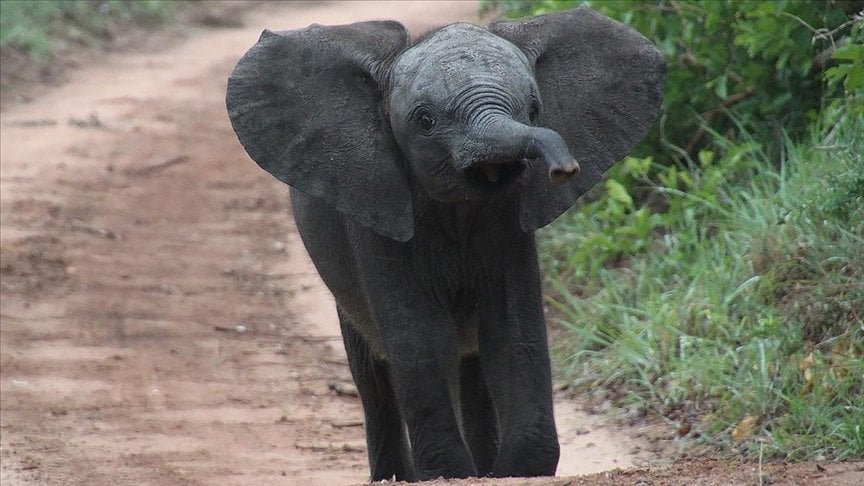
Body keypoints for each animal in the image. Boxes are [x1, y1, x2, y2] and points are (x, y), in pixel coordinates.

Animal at [226, 4, 664, 482]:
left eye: (534, 108)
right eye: (425, 121)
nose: (563, 168)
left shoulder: (508, 222)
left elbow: (509, 330)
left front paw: (520, 467)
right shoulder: (376, 210)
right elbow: (422, 337)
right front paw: (446, 471)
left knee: (470, 365)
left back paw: (484, 467)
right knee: (373, 375)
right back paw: (397, 476)